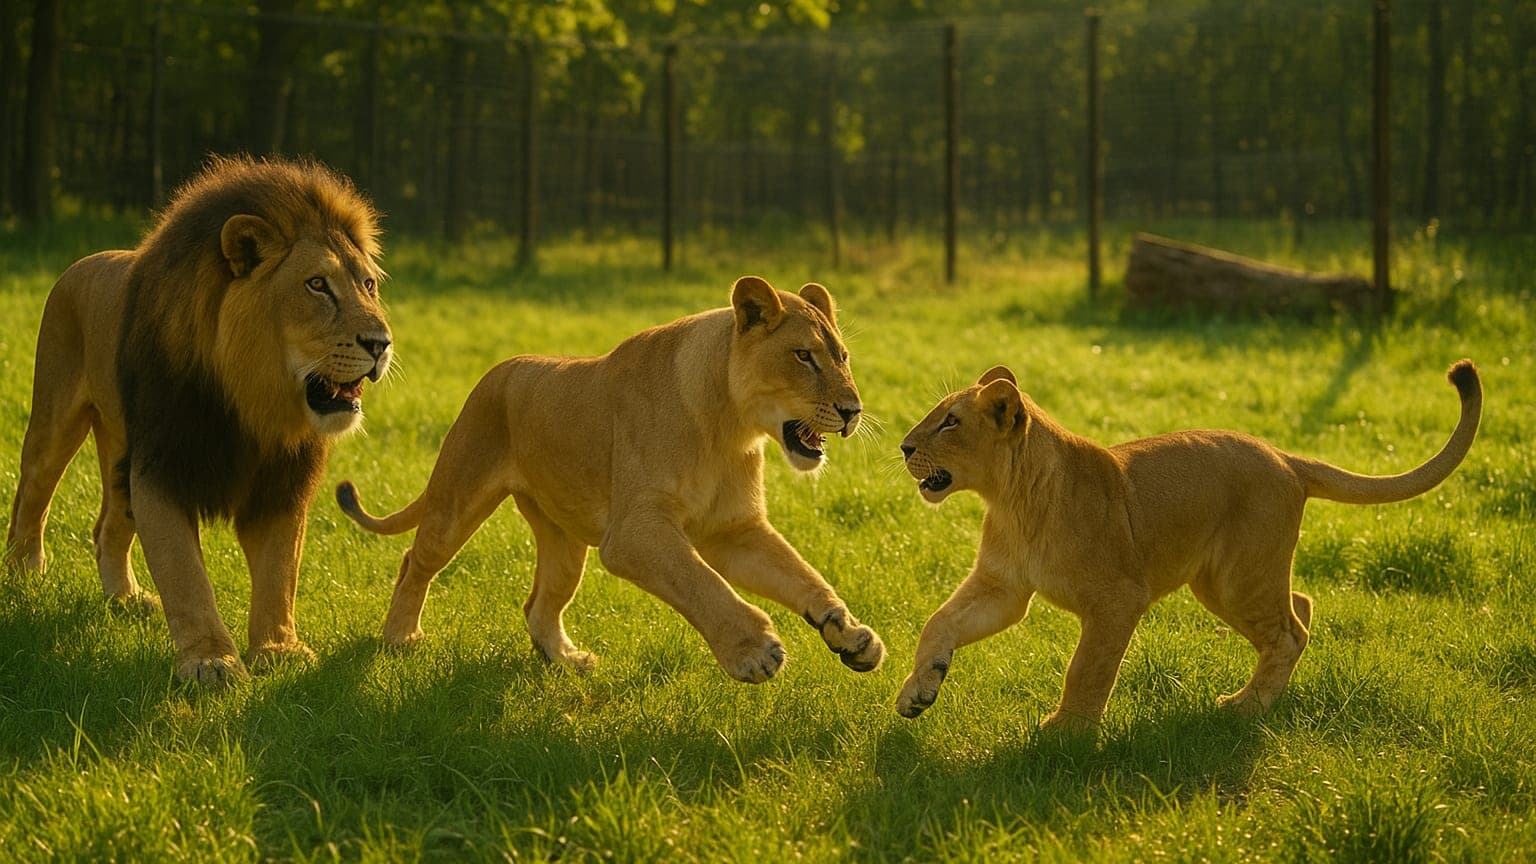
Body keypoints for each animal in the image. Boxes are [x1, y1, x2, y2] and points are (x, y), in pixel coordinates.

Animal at [6, 155, 392, 684]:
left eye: (368, 284)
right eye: (317, 284)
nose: (382, 343)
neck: (253, 404)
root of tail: (85, 260)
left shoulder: (281, 482)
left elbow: (279, 573)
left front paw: (278, 649)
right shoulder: (161, 465)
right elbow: (184, 572)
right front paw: (210, 661)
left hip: (121, 454)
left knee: (106, 529)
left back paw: (125, 601)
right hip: (56, 420)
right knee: (31, 497)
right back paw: (24, 577)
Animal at [336, 276, 885, 682]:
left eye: (842, 357)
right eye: (803, 356)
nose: (853, 410)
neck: (730, 426)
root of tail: (497, 371)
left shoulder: (734, 530)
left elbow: (801, 574)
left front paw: (848, 632)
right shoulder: (633, 533)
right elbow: (700, 581)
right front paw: (754, 651)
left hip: (563, 540)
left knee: (539, 604)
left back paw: (568, 661)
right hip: (457, 498)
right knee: (415, 561)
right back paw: (400, 639)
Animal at [895, 360, 1480, 729]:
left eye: (950, 422)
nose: (902, 447)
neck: (1010, 499)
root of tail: (1287, 457)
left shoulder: (1119, 598)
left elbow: (1088, 666)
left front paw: (1066, 730)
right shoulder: (1003, 587)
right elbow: (939, 622)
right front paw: (917, 693)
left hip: (1236, 579)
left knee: (1290, 631)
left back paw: (1245, 707)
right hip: (1226, 581)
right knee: (1301, 606)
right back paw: (1265, 699)